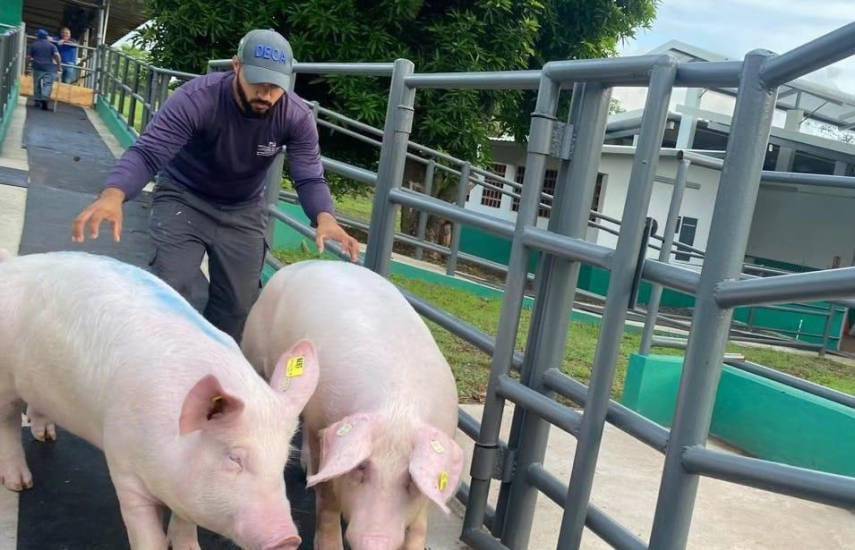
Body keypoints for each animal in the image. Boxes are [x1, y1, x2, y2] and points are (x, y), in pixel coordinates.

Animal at [0, 252, 320, 548]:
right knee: (8, 424)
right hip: (4, 383)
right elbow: (145, 534)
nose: (288, 538)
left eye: (284, 460)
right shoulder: (123, 468)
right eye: (234, 457)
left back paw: (46, 436)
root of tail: (12, 264)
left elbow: (185, 521)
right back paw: (20, 484)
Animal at [241, 260, 468, 548]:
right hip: (254, 350)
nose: (376, 541)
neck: (398, 409)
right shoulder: (322, 421)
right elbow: (328, 499)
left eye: (410, 478)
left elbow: (420, 522)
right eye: (362, 466)